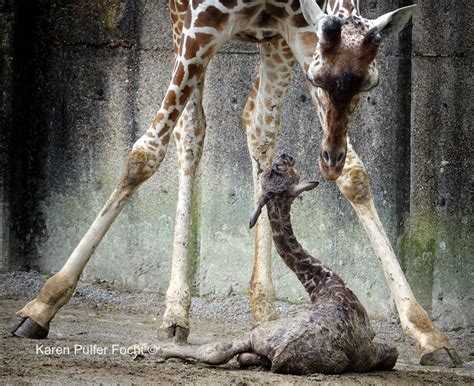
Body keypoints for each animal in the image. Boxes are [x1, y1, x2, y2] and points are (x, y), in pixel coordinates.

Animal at [135, 154, 398, 374]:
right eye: (278, 168)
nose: (285, 155)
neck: (323, 285)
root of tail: (284, 351)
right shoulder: (371, 342)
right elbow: (392, 352)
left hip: (256, 336)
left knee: (218, 351)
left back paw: (145, 349)